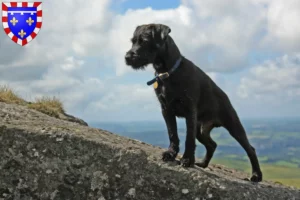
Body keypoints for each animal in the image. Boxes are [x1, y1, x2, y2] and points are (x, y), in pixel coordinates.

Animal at [124, 23, 262, 183]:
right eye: (133, 41)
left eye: (144, 41)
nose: (127, 57)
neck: (169, 71)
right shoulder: (166, 110)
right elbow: (172, 133)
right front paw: (171, 153)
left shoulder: (190, 111)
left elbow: (188, 138)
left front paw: (187, 160)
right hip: (201, 130)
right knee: (212, 144)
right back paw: (203, 164)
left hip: (233, 126)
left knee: (250, 149)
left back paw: (256, 175)